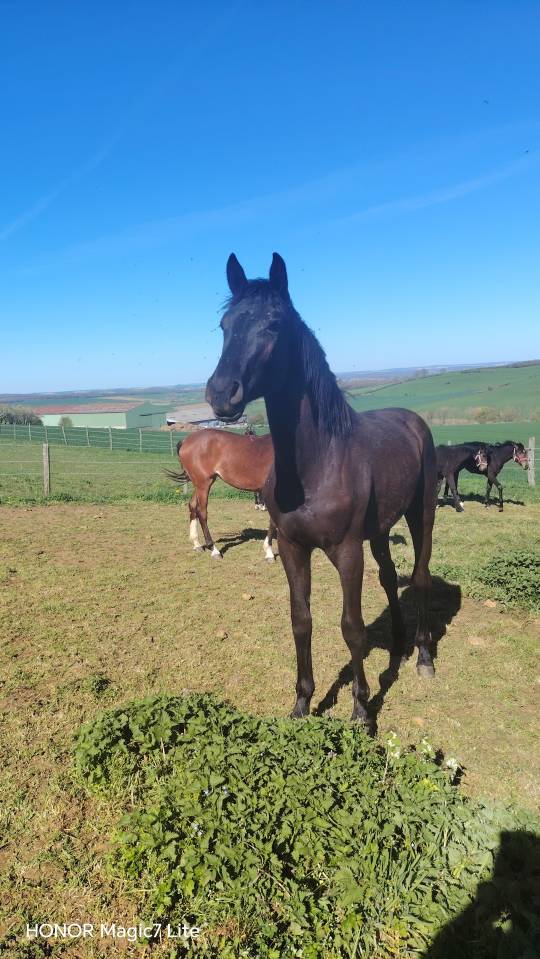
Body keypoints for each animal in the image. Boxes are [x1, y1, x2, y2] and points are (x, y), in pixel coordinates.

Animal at [165, 430, 276, 560]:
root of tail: (186, 441)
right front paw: (269, 552)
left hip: (201, 484)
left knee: (192, 506)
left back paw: (197, 544)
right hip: (204, 484)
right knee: (202, 513)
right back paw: (214, 550)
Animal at [206, 252, 438, 723]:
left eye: (274, 324)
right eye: (224, 324)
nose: (221, 394)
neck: (316, 464)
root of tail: (413, 422)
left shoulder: (347, 552)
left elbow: (351, 627)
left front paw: (362, 711)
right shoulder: (294, 548)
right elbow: (301, 620)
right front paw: (302, 703)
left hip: (421, 515)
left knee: (420, 576)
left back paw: (423, 656)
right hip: (380, 531)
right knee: (390, 576)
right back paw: (399, 643)